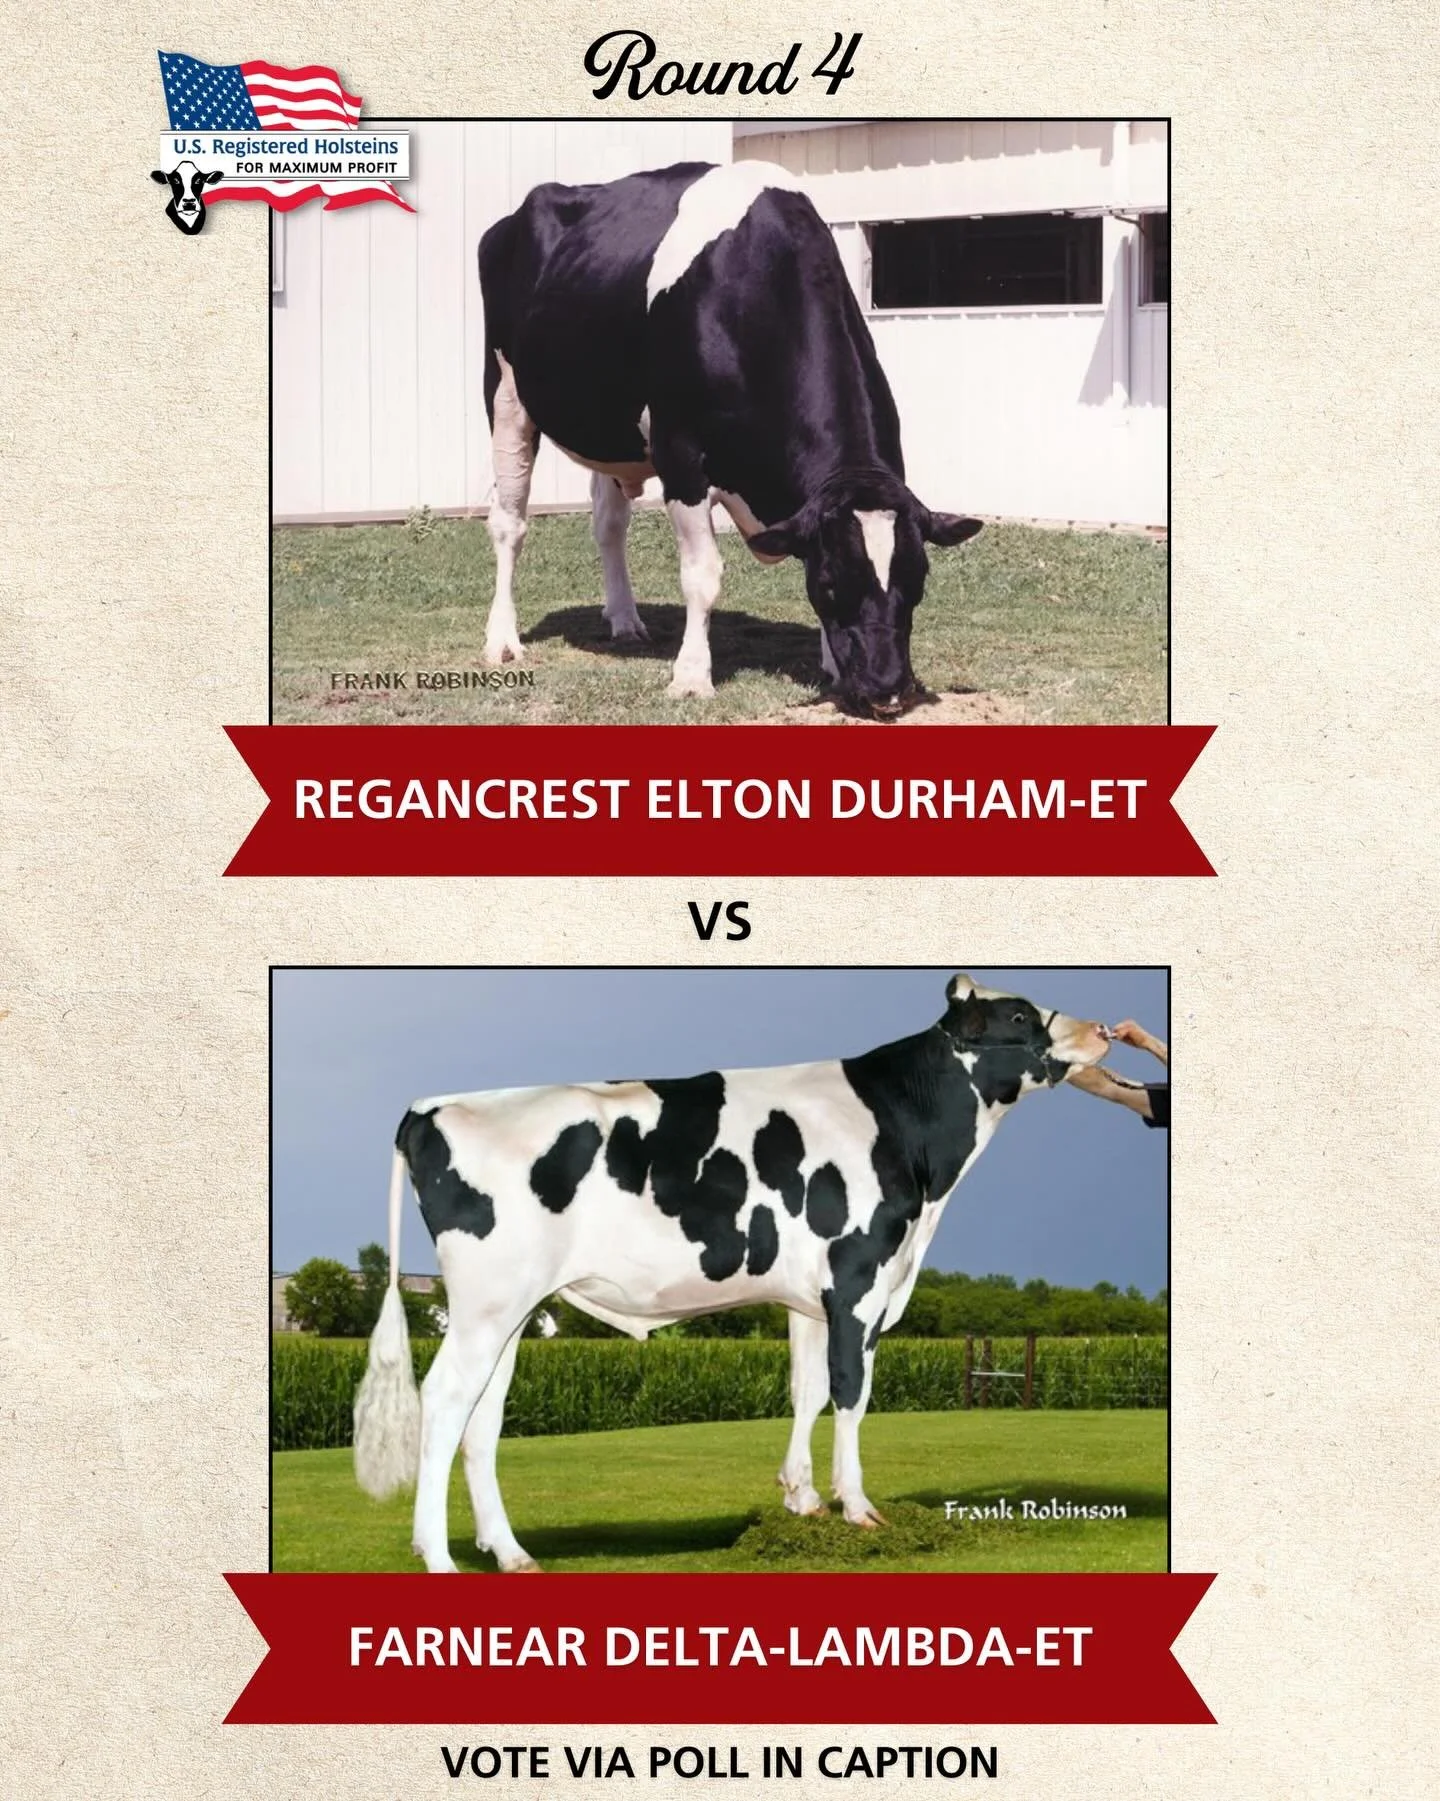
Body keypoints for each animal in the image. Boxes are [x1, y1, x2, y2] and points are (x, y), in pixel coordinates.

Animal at [352, 975, 1112, 1573]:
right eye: (1020, 1015)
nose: (1104, 1029)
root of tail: (432, 1107)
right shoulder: (860, 1277)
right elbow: (851, 1392)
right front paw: (858, 1508)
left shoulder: (810, 1299)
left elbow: (807, 1391)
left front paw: (803, 1500)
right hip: (486, 1302)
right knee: (445, 1398)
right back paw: (438, 1556)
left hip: (509, 1310)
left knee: (482, 1416)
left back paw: (510, 1553)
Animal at [476, 161, 983, 720]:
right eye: (832, 584)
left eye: (918, 580)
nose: (888, 688)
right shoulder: (681, 456)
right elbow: (703, 574)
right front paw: (692, 677)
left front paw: (830, 665)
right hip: (505, 395)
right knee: (509, 523)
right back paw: (502, 641)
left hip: (612, 432)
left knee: (609, 524)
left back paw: (625, 621)